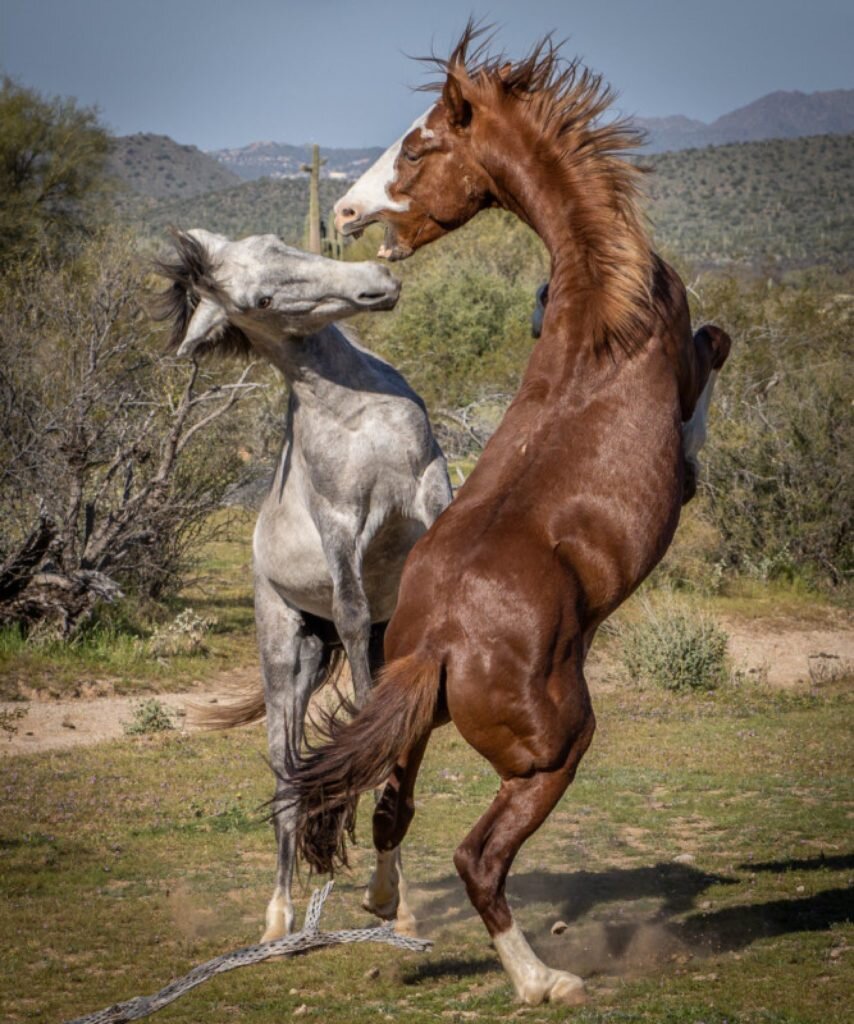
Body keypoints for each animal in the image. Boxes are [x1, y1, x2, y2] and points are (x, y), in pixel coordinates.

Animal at [153, 230, 452, 937]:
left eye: (275, 242)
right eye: (258, 300)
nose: (377, 282)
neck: (354, 409)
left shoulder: (430, 486)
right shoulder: (341, 524)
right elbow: (350, 612)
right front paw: (387, 895)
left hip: (342, 642)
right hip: (284, 654)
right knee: (288, 780)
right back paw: (279, 919)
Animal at [288, 28, 729, 1003]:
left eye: (418, 147)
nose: (344, 212)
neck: (599, 294)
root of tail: (441, 643)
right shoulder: (685, 360)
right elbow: (714, 352)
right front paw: (694, 456)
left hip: (411, 719)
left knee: (391, 809)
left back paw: (386, 906)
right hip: (553, 752)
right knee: (477, 857)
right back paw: (542, 980)